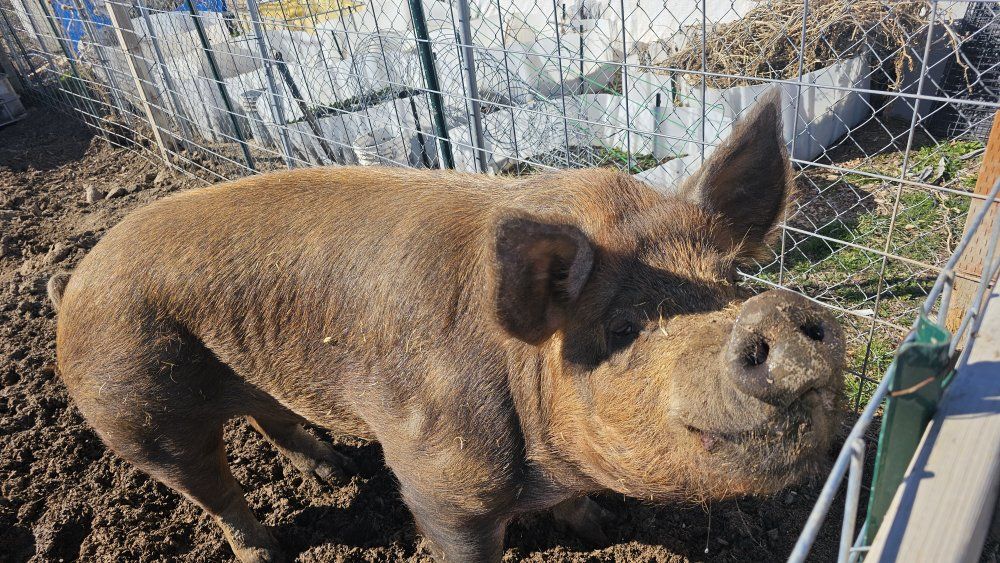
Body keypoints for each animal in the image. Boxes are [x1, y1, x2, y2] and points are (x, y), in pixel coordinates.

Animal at [48, 90, 844, 563]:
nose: (776, 312)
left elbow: (577, 504)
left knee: (267, 411)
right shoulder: (438, 481)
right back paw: (269, 550)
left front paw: (602, 529)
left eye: (732, 281)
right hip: (136, 404)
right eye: (622, 327)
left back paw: (332, 472)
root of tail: (75, 282)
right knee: (210, 486)